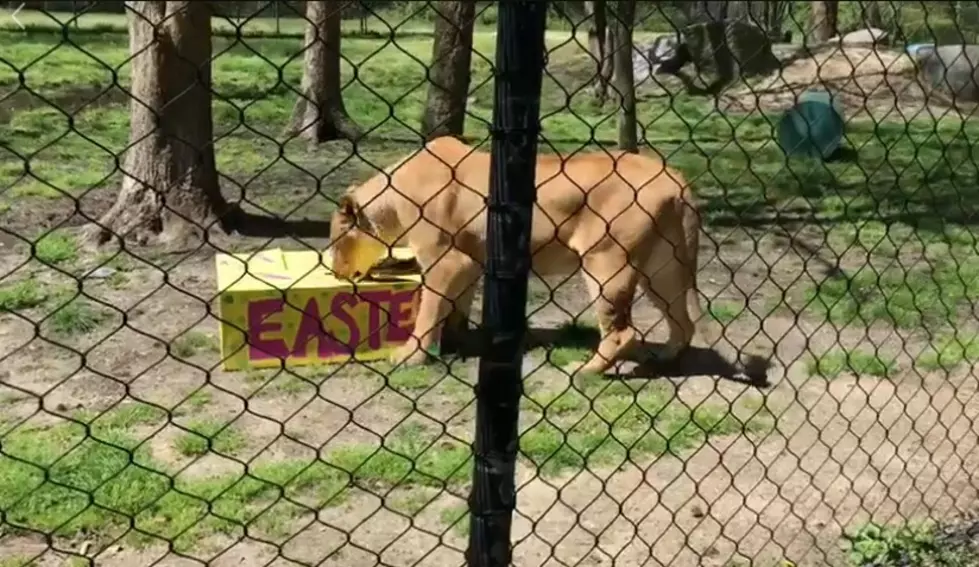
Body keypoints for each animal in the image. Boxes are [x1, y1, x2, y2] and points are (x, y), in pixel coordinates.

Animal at [330, 136, 756, 380]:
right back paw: (663, 357)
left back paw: (586, 371)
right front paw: (457, 341)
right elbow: (454, 306)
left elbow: (429, 311)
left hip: (606, 262)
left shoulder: (447, 261)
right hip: (662, 269)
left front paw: (410, 356)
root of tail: (676, 178)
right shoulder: (470, 262)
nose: (335, 271)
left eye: (335, 242)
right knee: (682, 321)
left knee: (622, 331)